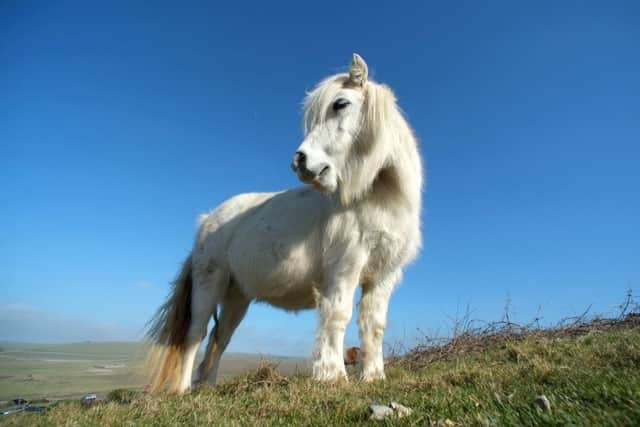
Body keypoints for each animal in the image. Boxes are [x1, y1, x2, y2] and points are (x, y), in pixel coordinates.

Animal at [147, 54, 422, 394]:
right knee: (195, 335)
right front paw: (332, 376)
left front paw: (373, 376)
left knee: (218, 339)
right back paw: (182, 391)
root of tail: (207, 220)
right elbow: (338, 315)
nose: (300, 162)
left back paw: (207, 387)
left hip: (237, 296)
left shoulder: (383, 275)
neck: (381, 200)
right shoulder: (345, 265)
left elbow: (374, 325)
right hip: (209, 284)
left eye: (341, 104)